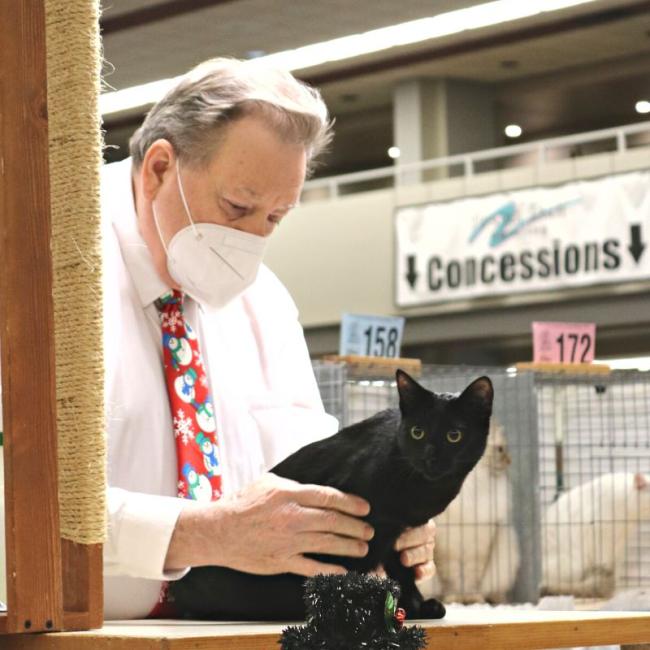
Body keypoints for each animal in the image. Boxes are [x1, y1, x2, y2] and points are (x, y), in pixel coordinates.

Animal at [168, 370, 492, 616]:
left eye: (454, 435)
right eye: (417, 432)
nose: (430, 457)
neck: (424, 489)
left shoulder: (399, 534)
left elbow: (404, 570)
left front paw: (415, 606)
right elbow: (348, 576)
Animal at [426, 420, 520, 604]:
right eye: (500, 450)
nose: (510, 461)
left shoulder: (479, 544)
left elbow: (472, 580)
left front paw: (472, 598)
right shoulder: (446, 549)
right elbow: (452, 581)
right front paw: (453, 599)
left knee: (496, 592)